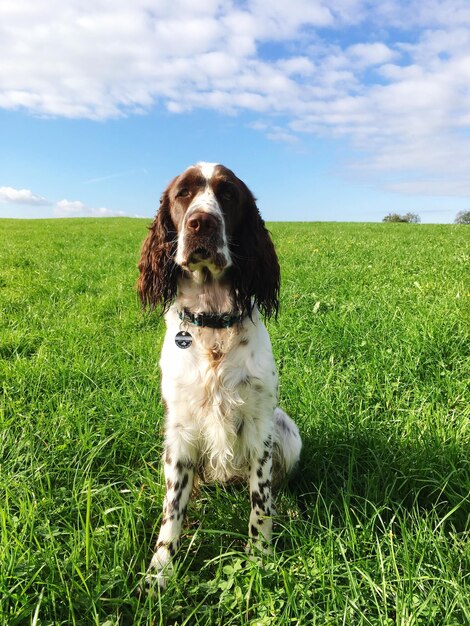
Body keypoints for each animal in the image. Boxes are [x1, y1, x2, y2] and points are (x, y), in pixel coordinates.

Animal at [137, 163, 302, 588]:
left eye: (228, 194)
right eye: (183, 194)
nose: (201, 222)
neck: (213, 323)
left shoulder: (260, 425)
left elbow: (261, 500)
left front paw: (260, 557)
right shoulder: (179, 430)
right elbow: (172, 510)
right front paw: (160, 572)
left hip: (287, 431)